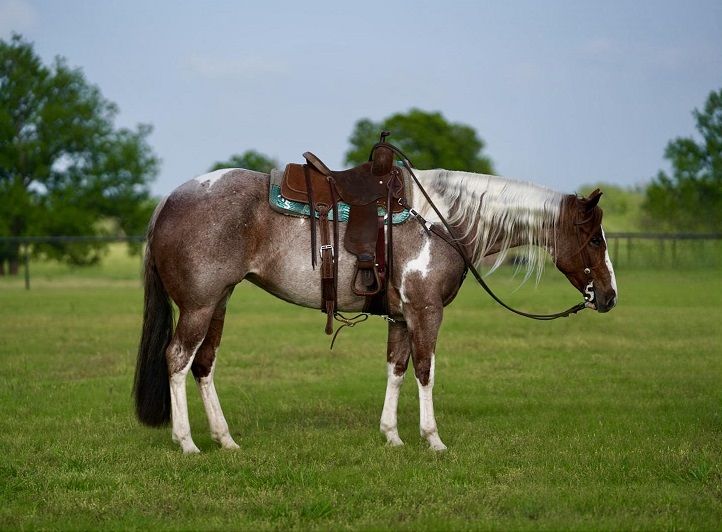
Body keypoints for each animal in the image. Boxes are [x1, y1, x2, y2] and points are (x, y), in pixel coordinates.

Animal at [133, 166, 618, 453]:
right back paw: (187, 443)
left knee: (204, 365)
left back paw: (225, 440)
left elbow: (397, 369)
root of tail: (169, 200)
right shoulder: (425, 311)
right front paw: (432, 439)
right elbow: (425, 370)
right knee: (177, 359)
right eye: (595, 239)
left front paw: (392, 436)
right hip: (198, 306)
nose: (610, 296)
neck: (441, 221)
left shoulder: (402, 317)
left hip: (218, 303)